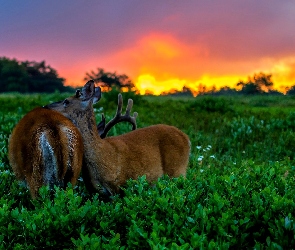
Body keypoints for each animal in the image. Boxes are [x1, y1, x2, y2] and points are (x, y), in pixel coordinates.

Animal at [45, 80, 191, 199]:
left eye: (66, 101)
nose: (46, 107)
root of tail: (186, 138)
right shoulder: (96, 193)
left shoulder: (117, 186)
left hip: (178, 170)